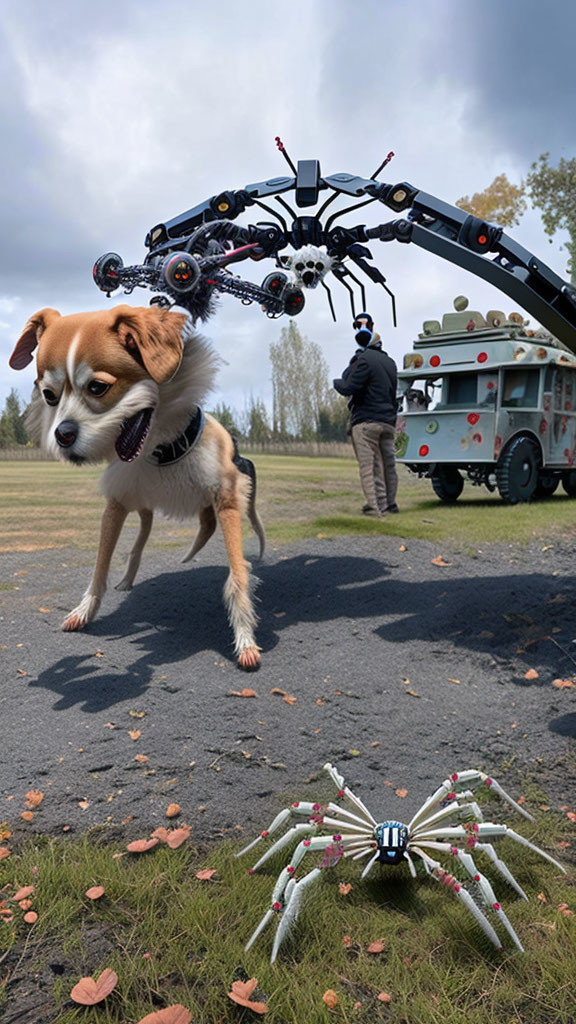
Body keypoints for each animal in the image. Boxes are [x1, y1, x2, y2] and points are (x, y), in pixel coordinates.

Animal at [9, 301, 264, 671]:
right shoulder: (116, 505)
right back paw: (144, 573)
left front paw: (245, 637)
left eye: (98, 387)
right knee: (147, 540)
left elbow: (237, 573)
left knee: (232, 525)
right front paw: (85, 611)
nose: (62, 435)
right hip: (143, 508)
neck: (162, 451)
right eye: (49, 395)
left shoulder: (226, 498)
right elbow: (101, 564)